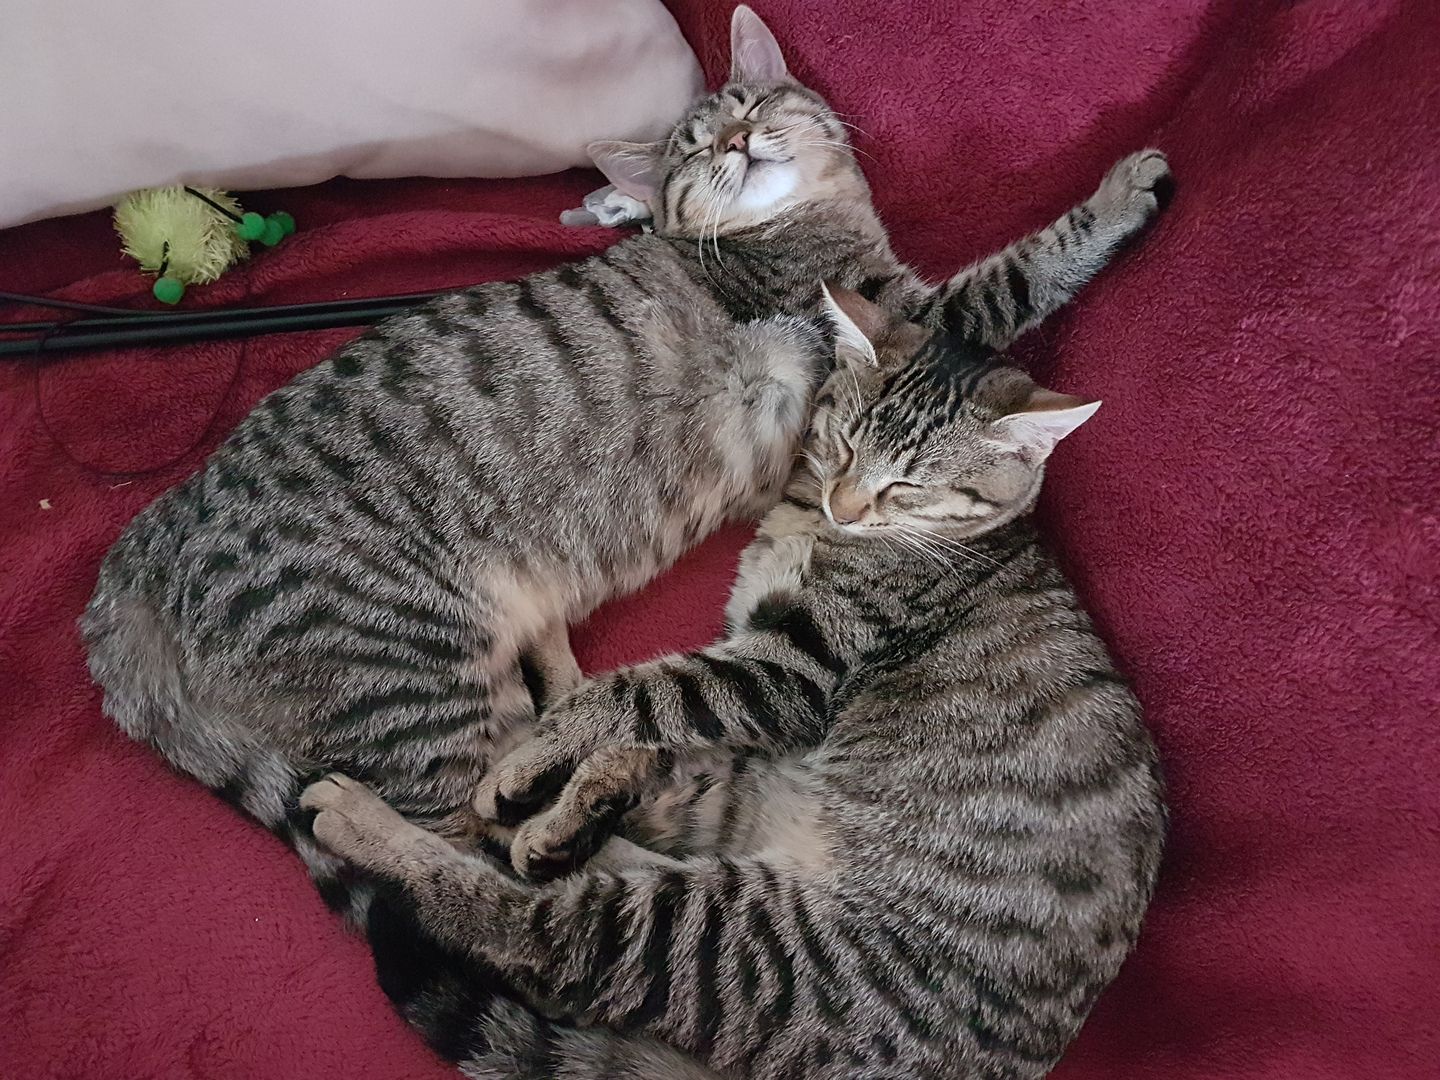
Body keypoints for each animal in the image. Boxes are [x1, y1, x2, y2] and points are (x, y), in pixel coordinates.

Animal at [83, 3, 1170, 925]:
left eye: (749, 106)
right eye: (693, 148)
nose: (734, 142)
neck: (800, 226)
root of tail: (136, 562)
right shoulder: (903, 317)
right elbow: (1018, 269)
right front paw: (1123, 192)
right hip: (418, 682)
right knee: (484, 856)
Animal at [301, 286, 1167, 1080]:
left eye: (908, 486)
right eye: (843, 444)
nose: (845, 503)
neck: (816, 527)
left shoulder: (796, 666)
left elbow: (635, 694)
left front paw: (532, 761)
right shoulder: (746, 657)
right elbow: (651, 709)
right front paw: (570, 775)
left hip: (734, 938)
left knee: (530, 924)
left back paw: (380, 821)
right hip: (732, 804)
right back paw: (552, 806)